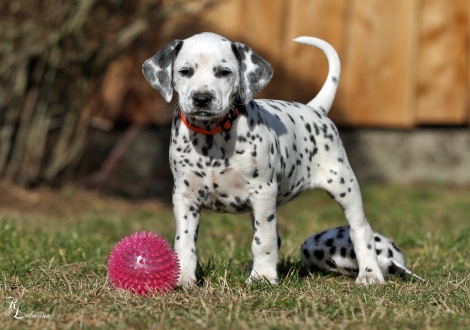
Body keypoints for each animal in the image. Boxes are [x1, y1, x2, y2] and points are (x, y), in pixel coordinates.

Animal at [143, 32, 392, 286]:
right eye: (184, 72)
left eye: (224, 72)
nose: (202, 99)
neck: (212, 136)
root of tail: (316, 109)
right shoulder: (185, 196)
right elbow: (184, 242)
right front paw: (183, 277)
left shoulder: (263, 192)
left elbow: (263, 240)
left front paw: (262, 276)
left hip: (343, 184)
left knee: (361, 230)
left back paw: (370, 274)